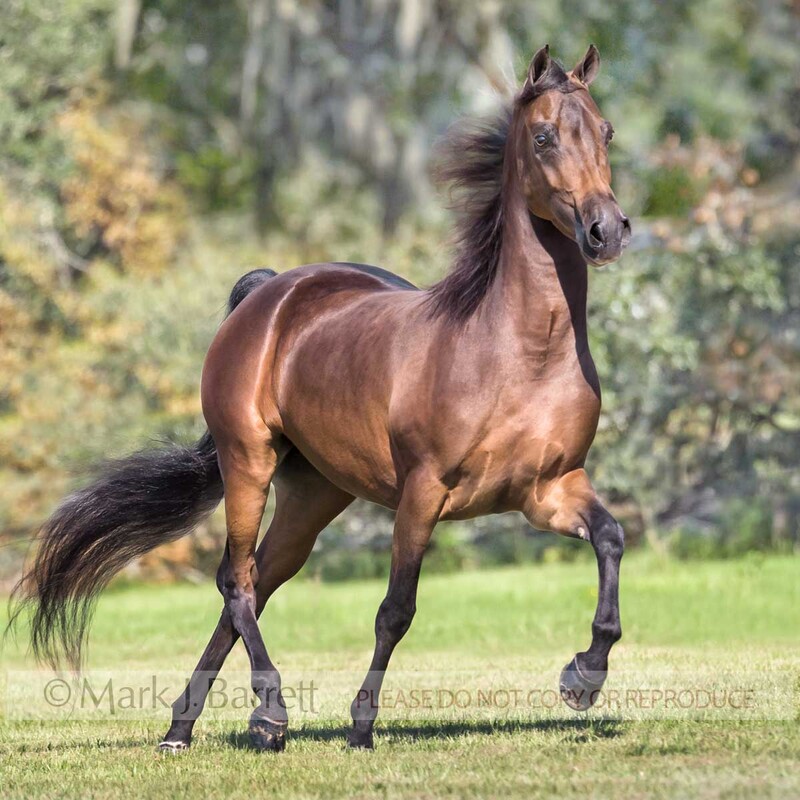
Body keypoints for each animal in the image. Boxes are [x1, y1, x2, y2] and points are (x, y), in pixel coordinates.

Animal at [11, 44, 631, 752]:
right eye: (544, 136)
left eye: (607, 131)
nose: (606, 231)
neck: (517, 353)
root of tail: (269, 291)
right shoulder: (423, 492)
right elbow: (396, 610)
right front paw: (362, 726)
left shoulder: (549, 489)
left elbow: (611, 540)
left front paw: (583, 675)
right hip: (248, 460)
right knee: (237, 581)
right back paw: (268, 715)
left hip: (313, 495)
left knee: (255, 584)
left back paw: (181, 726)